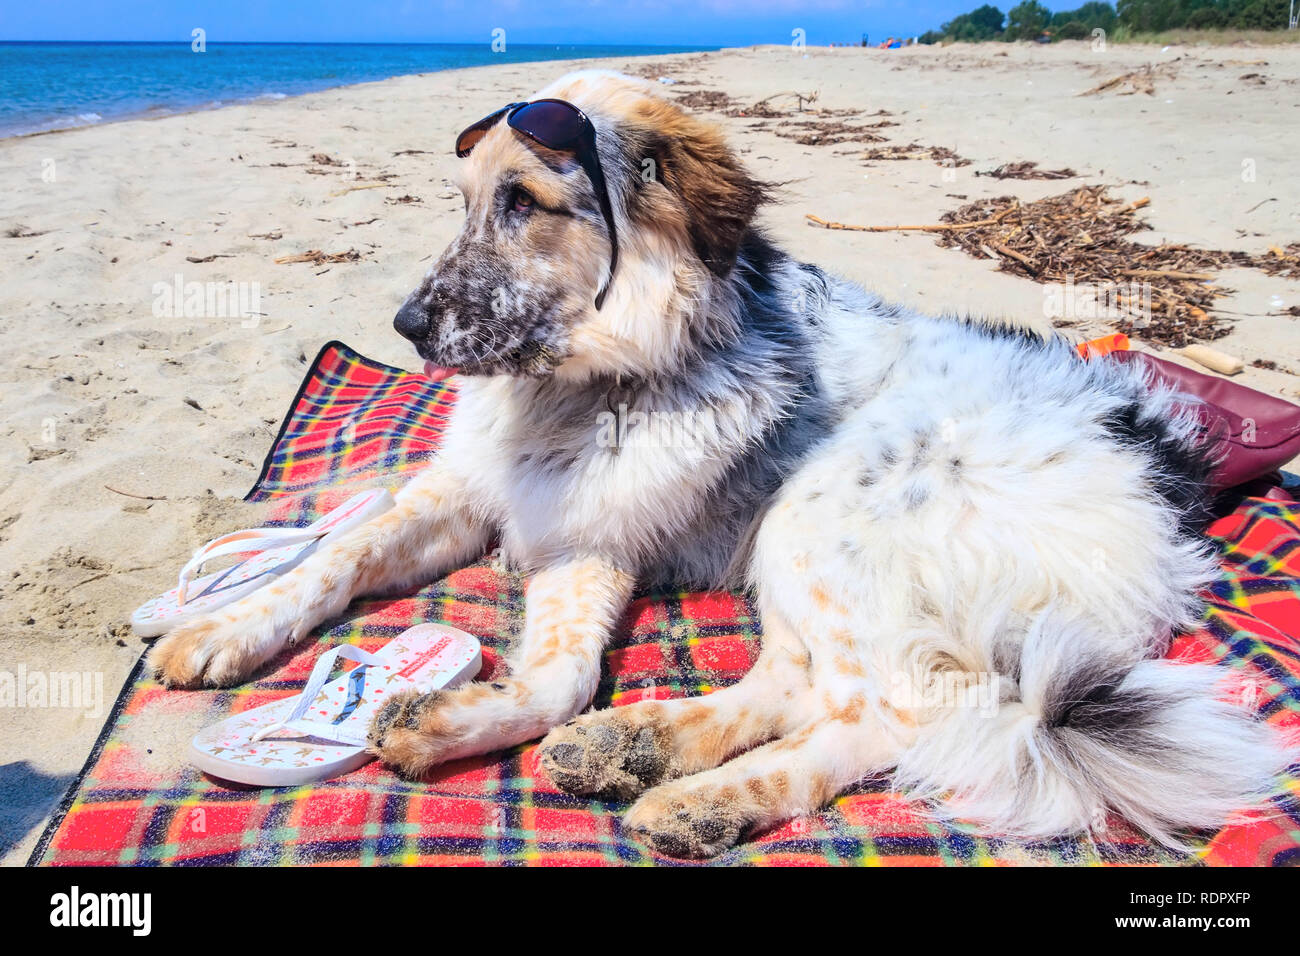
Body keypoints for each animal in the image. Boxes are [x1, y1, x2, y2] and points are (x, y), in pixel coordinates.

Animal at [149, 69, 1289, 858]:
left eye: (523, 202)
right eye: (467, 202)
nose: (406, 327)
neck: (590, 382)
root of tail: (1158, 481)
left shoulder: (592, 540)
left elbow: (559, 675)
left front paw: (461, 719)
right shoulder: (491, 499)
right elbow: (335, 560)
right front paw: (223, 627)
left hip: (824, 505)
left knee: (887, 713)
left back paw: (703, 797)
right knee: (803, 680)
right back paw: (641, 746)